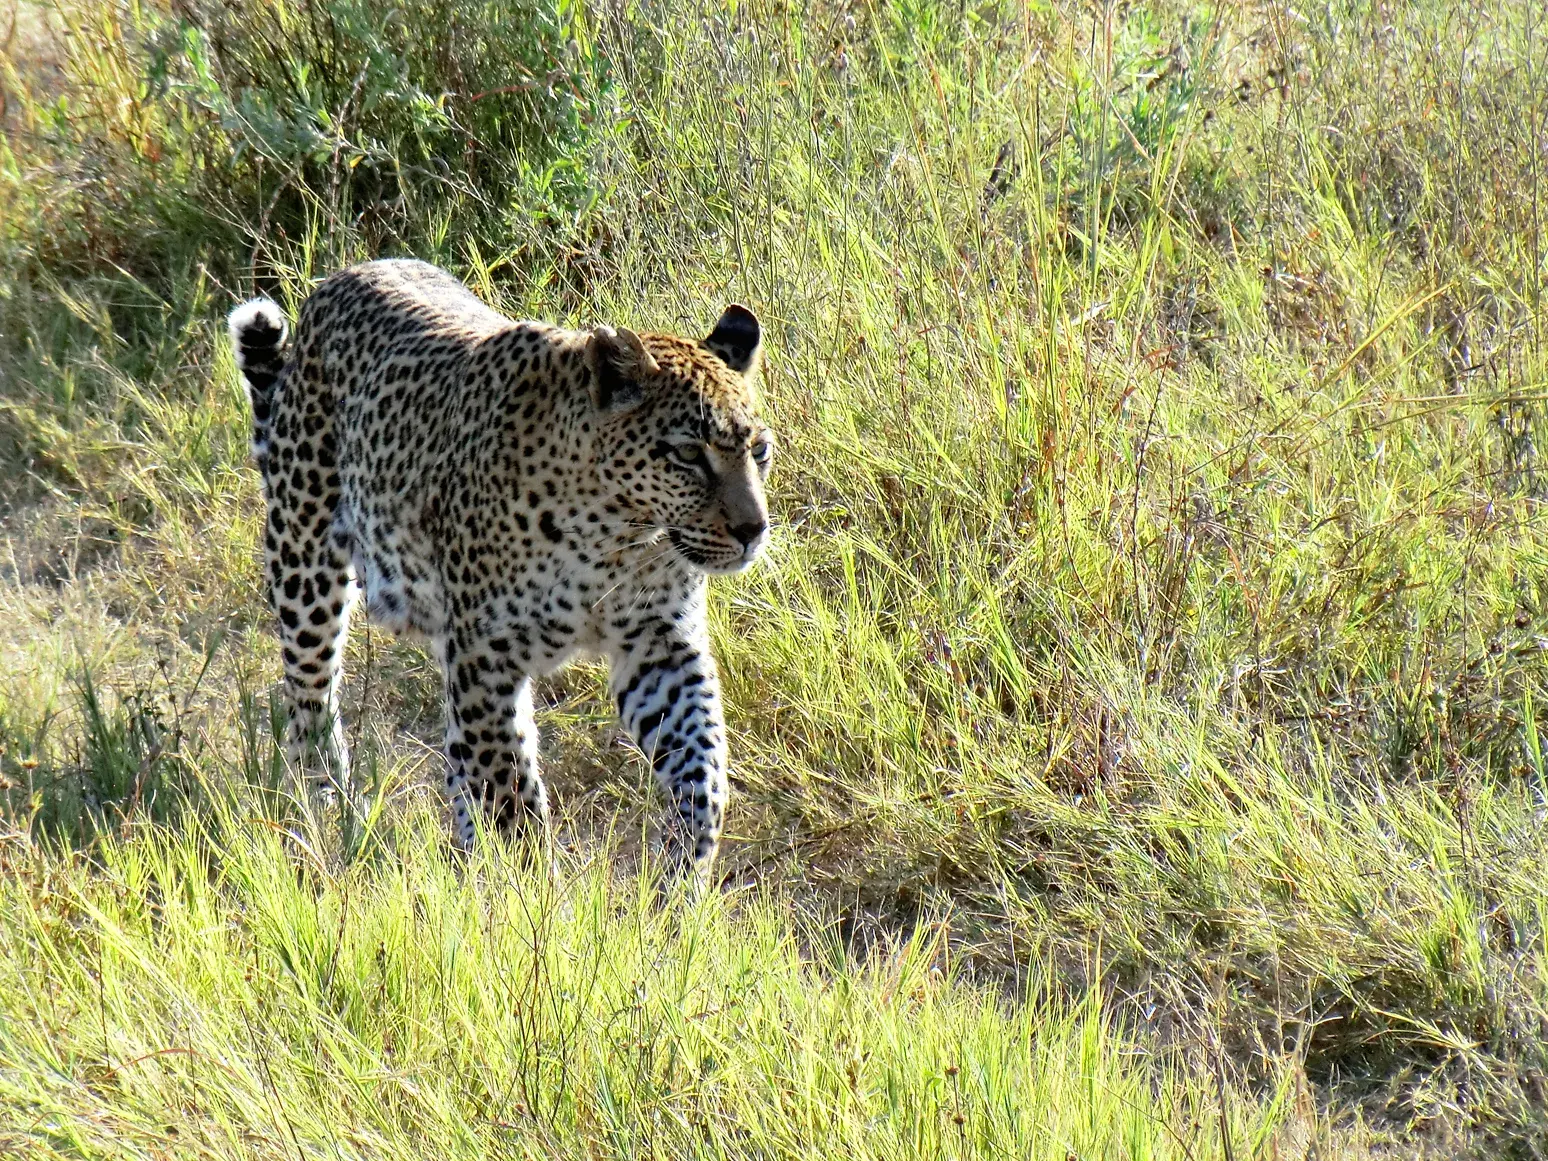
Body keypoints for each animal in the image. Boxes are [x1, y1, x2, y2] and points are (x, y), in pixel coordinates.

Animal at [228, 258, 773, 888]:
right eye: (688, 455)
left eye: (759, 450)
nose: (753, 529)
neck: (617, 537)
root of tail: (345, 276)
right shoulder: (487, 657)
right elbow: (508, 791)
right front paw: (532, 897)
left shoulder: (659, 644)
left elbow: (700, 762)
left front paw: (683, 873)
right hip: (305, 563)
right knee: (310, 698)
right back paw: (325, 803)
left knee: (453, 754)